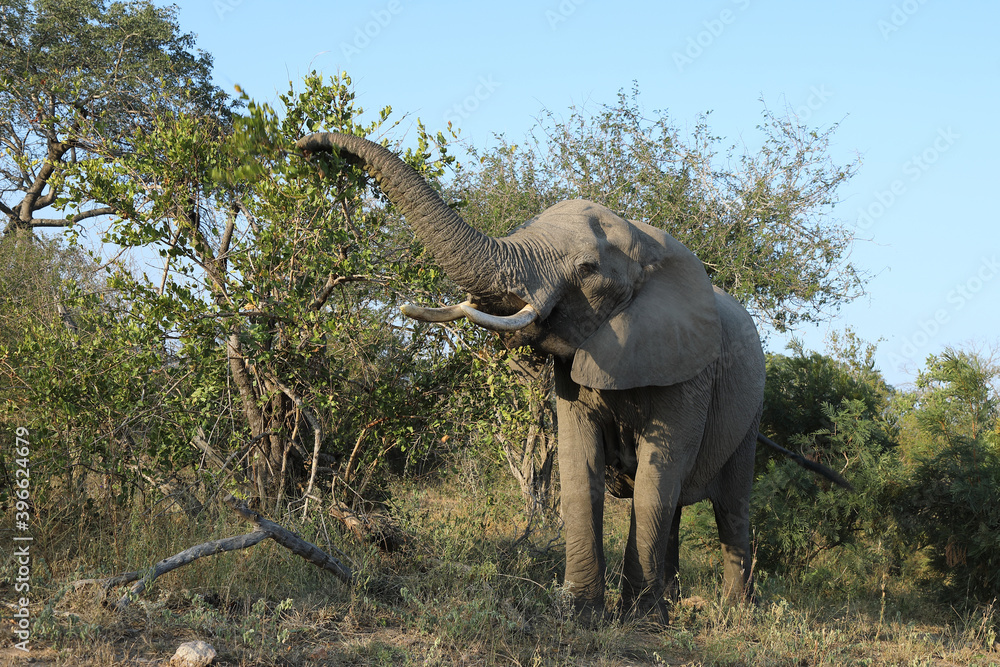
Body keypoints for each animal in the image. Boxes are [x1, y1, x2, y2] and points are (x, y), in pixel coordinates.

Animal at [295, 132, 840, 623]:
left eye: (588, 269)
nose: (308, 147)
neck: (647, 243)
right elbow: (580, 470)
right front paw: (579, 612)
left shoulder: (690, 371)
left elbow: (654, 476)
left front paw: (638, 620)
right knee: (679, 505)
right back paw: (673, 601)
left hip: (751, 408)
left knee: (730, 506)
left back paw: (732, 612)